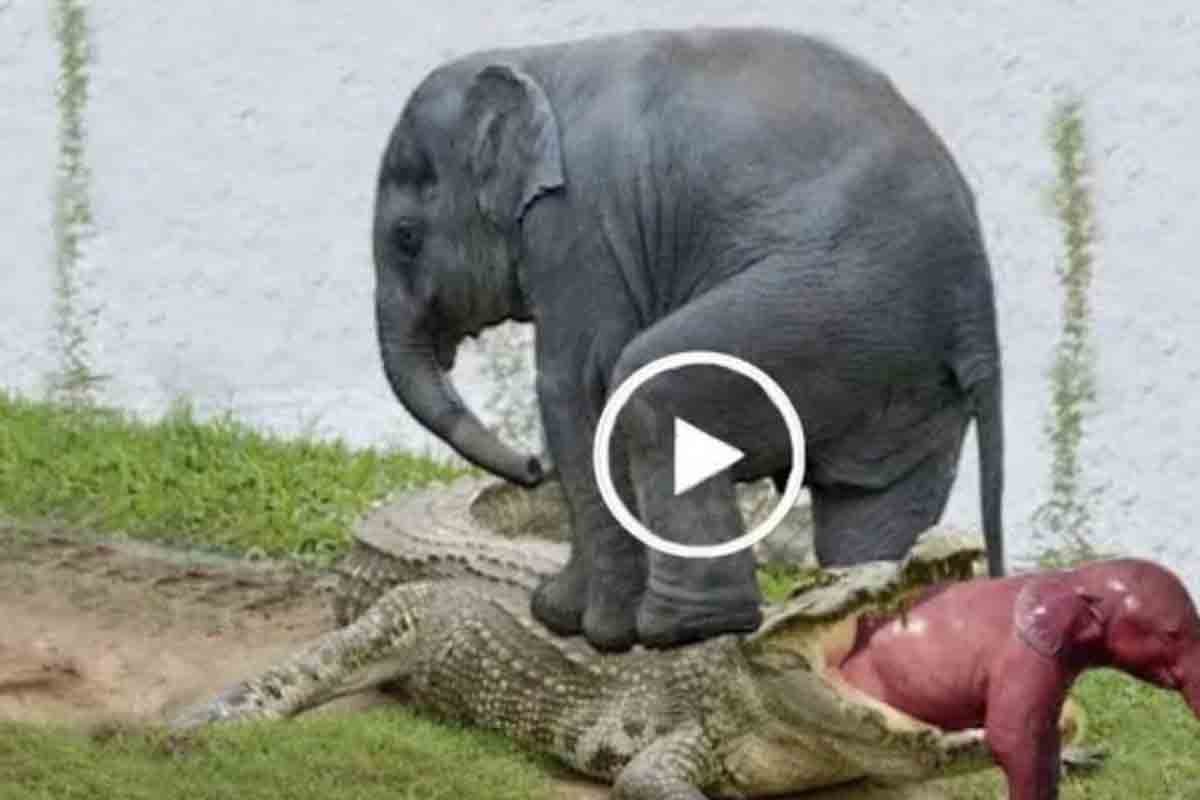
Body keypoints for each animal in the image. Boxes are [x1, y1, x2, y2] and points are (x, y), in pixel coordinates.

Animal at [372, 27, 1004, 652]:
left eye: (405, 238)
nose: (530, 468)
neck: (536, 60)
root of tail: (975, 304)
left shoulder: (579, 226)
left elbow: (573, 387)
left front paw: (579, 624)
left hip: (832, 307)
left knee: (654, 389)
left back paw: (681, 629)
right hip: (901, 369)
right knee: (870, 501)